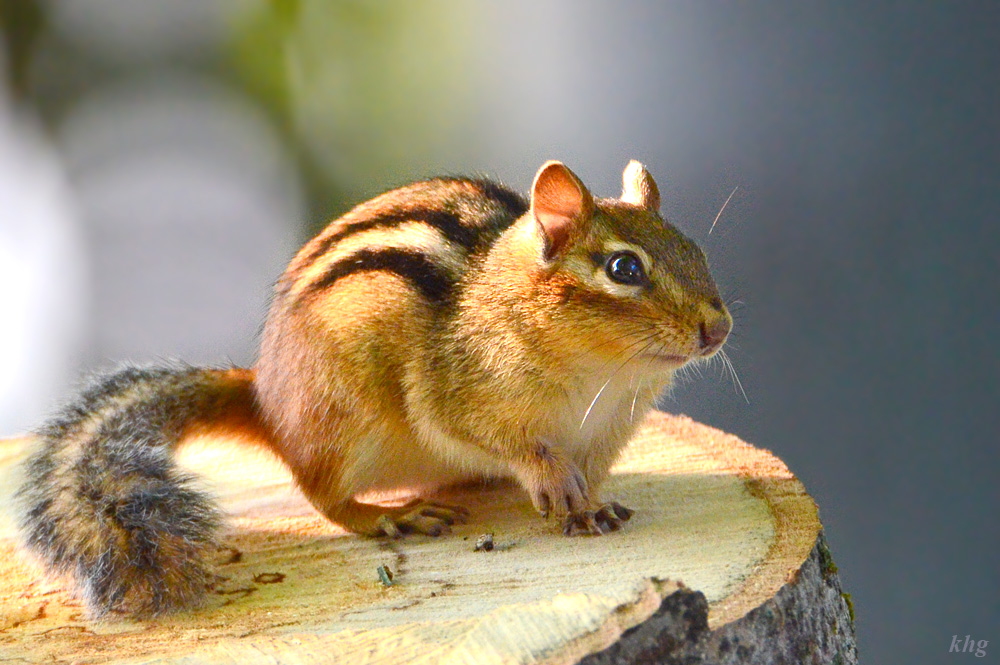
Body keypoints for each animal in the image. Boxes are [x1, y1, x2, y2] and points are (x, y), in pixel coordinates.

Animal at [15, 160, 732, 619]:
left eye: (697, 253)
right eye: (624, 268)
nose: (718, 327)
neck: (604, 377)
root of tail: (266, 400)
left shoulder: (608, 433)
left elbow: (590, 475)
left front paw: (593, 506)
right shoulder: (461, 393)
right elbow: (506, 442)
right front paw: (553, 482)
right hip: (344, 417)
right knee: (322, 494)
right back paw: (392, 514)